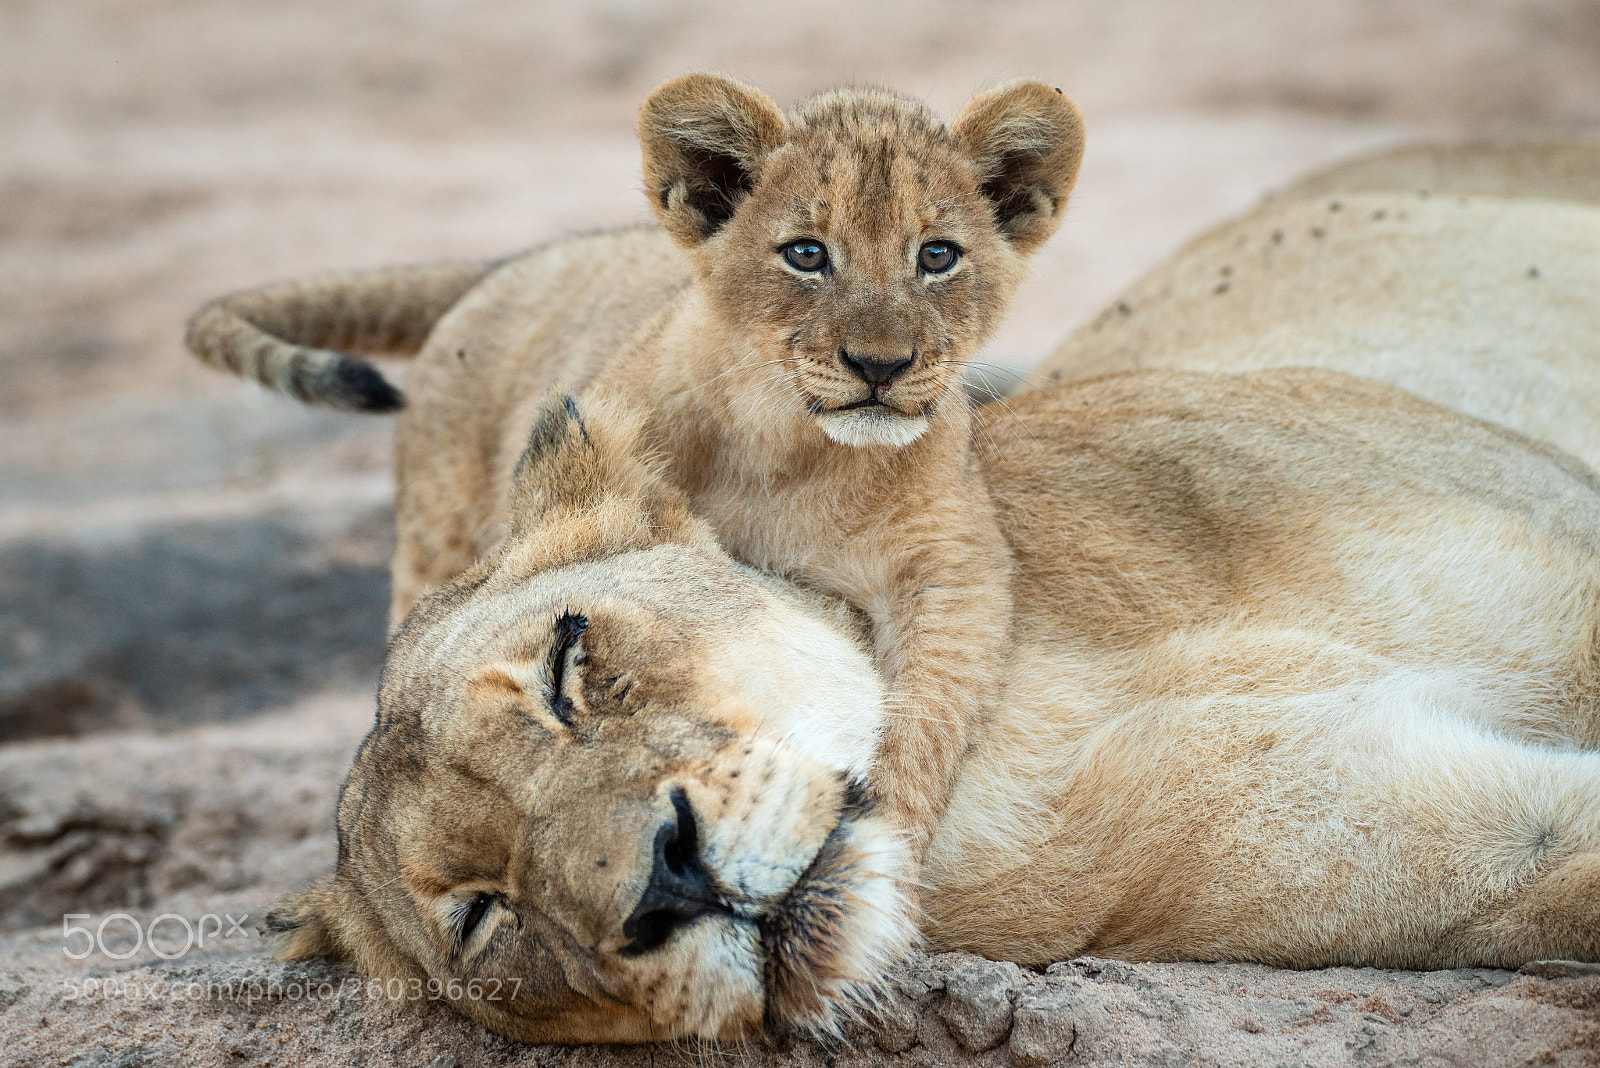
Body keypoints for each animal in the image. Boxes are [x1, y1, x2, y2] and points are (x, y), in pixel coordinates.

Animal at [187, 73, 1087, 863]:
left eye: (937, 255)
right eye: (806, 254)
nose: (881, 365)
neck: (794, 449)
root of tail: (503, 267)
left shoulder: (952, 570)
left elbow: (926, 712)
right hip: (435, 535)